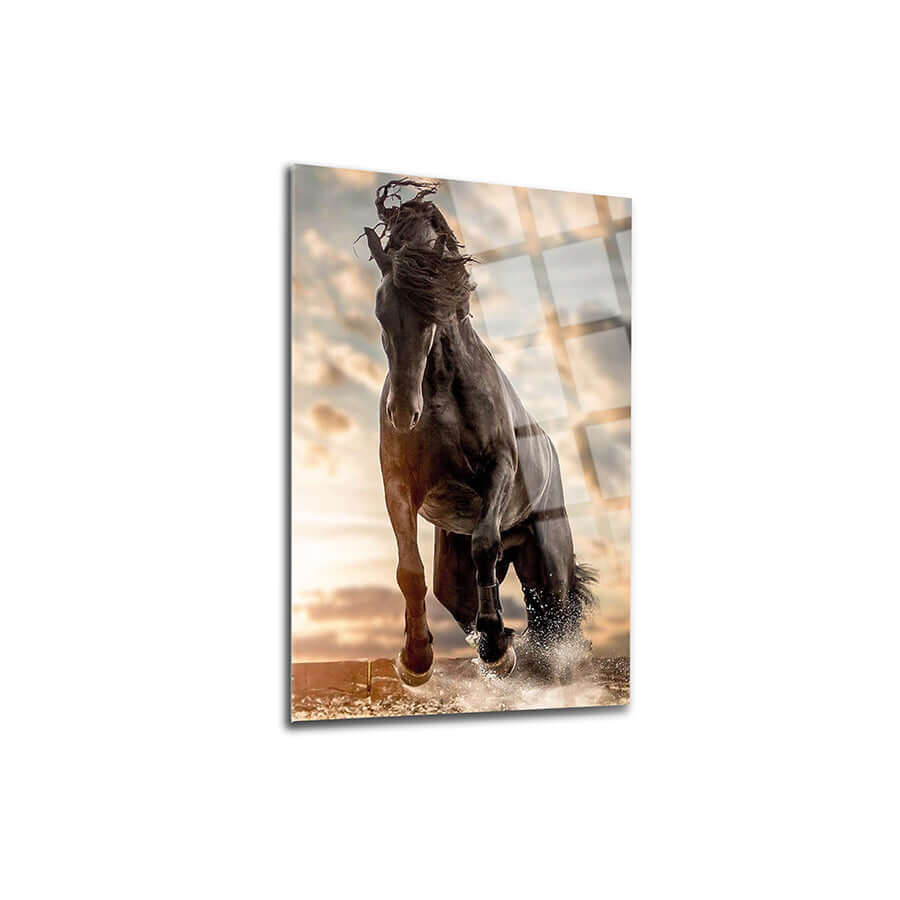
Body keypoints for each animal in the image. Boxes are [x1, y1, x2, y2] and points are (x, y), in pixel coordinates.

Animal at [362, 179, 595, 685]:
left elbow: (485, 544)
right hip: (457, 566)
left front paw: (495, 651)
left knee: (557, 615)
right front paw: (416, 659)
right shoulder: (397, 485)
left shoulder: (497, 469)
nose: (403, 413)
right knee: (467, 598)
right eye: (381, 312)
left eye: (433, 314)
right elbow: (409, 571)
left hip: (549, 559)